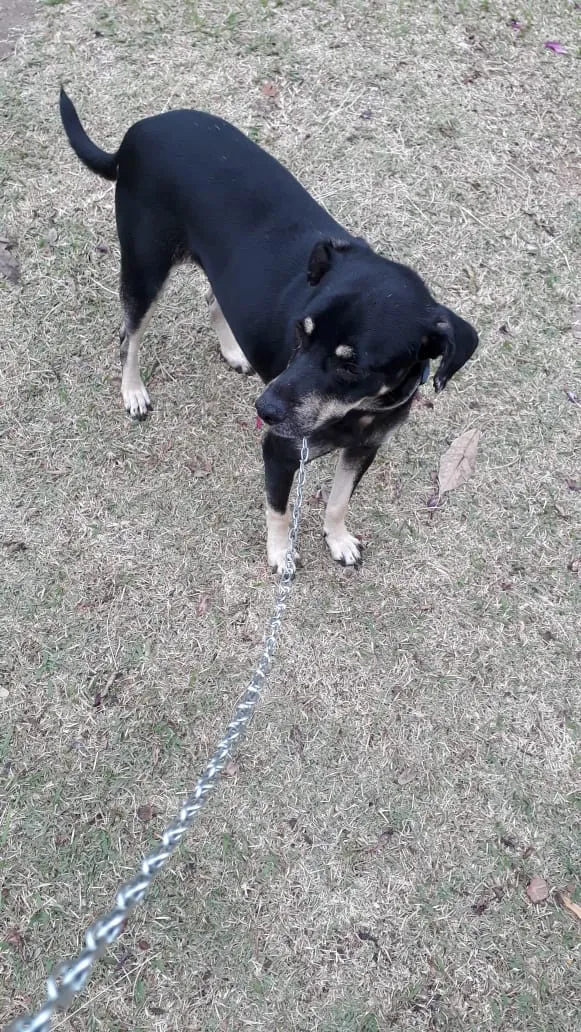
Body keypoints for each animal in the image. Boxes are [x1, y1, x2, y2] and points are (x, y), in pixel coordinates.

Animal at [59, 88, 478, 573]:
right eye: (301, 333)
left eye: (353, 366)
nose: (265, 408)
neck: (359, 410)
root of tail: (136, 133)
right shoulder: (280, 450)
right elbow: (278, 508)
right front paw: (280, 554)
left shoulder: (365, 449)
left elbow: (339, 500)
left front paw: (337, 539)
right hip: (145, 265)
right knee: (130, 334)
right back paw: (133, 391)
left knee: (212, 299)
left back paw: (232, 350)